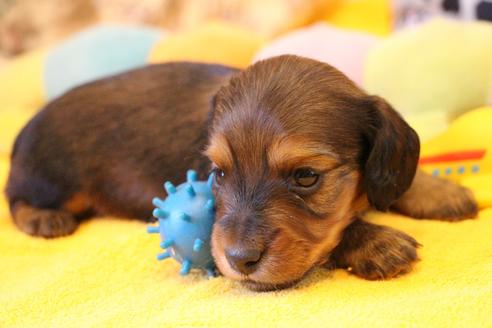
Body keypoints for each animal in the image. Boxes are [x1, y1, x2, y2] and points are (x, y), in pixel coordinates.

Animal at [4, 55, 476, 290]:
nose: (238, 261)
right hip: (52, 177)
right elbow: (340, 230)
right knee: (15, 199)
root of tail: (23, 131)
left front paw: (439, 190)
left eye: (306, 176)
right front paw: (376, 243)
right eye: (218, 173)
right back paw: (45, 219)